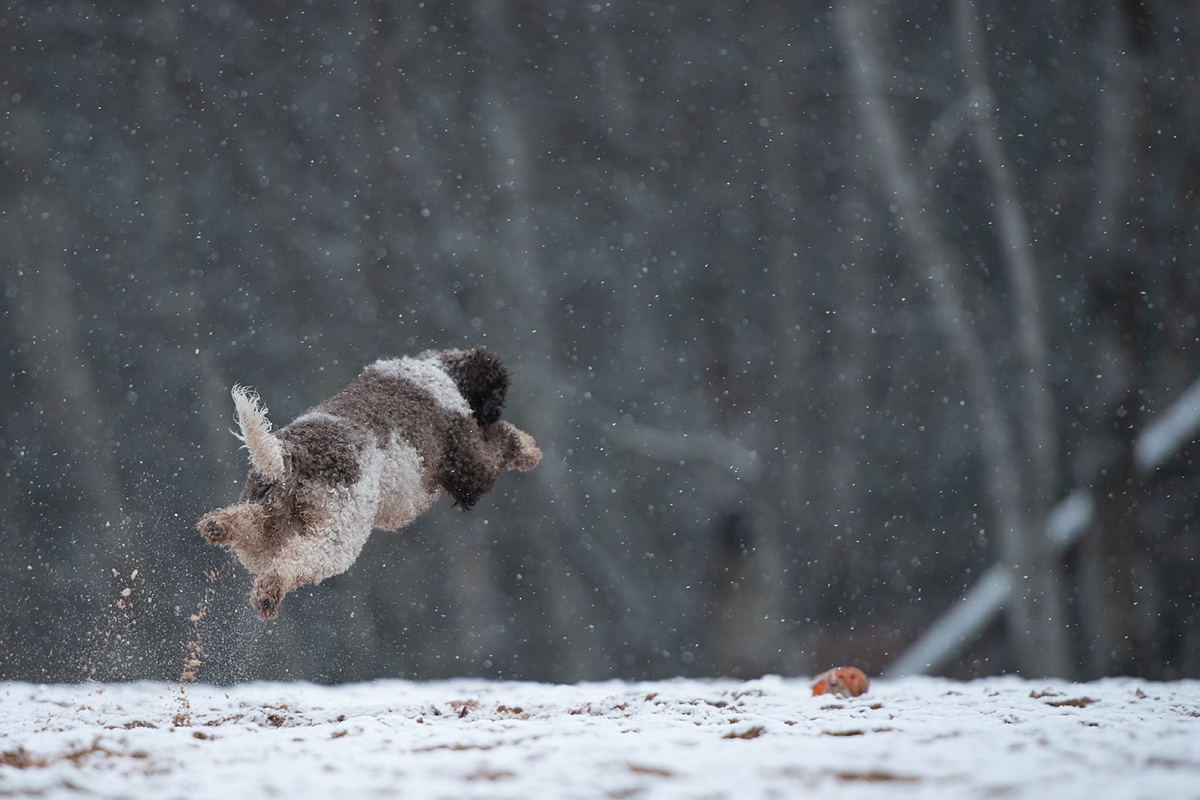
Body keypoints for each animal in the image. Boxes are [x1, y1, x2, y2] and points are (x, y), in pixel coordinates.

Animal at [198, 345, 544, 618]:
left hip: (269, 516)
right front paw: (529, 451)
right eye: (498, 395)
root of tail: (294, 453)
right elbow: (504, 442)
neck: (438, 373)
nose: (495, 409)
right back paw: (269, 593)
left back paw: (218, 526)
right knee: (297, 560)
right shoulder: (469, 464)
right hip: (340, 530)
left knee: (251, 528)